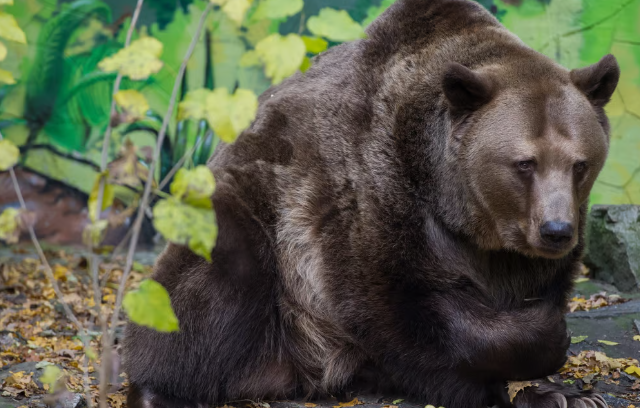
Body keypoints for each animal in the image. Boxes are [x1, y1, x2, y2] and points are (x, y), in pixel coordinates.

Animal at [122, 0, 616, 408]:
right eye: (524, 163)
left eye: (579, 164)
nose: (556, 231)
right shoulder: (370, 193)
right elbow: (401, 308)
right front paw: (548, 339)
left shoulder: (529, 255)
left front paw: (558, 392)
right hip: (250, 222)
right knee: (206, 289)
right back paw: (159, 391)